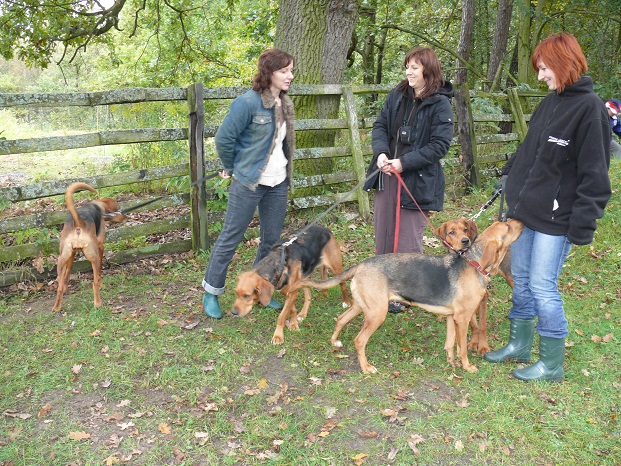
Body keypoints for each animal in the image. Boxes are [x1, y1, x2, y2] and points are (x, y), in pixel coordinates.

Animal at [53, 184, 126, 312]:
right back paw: (98, 303)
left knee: (59, 286)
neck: (97, 205)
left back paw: (57, 307)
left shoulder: (71, 254)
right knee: (94, 283)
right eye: (118, 208)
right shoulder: (100, 248)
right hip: (94, 258)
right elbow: (100, 272)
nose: (125, 216)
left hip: (61, 260)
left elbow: (67, 274)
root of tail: (78, 222)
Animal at [296, 219, 524, 374]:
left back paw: (335, 341)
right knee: (359, 341)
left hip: (362, 306)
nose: (520, 221)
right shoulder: (463, 318)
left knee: (340, 319)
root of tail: (361, 265)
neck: (474, 262)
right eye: (508, 228)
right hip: (377, 314)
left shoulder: (452, 317)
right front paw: (467, 366)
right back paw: (366, 367)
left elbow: (450, 345)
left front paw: (451, 363)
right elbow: (462, 348)